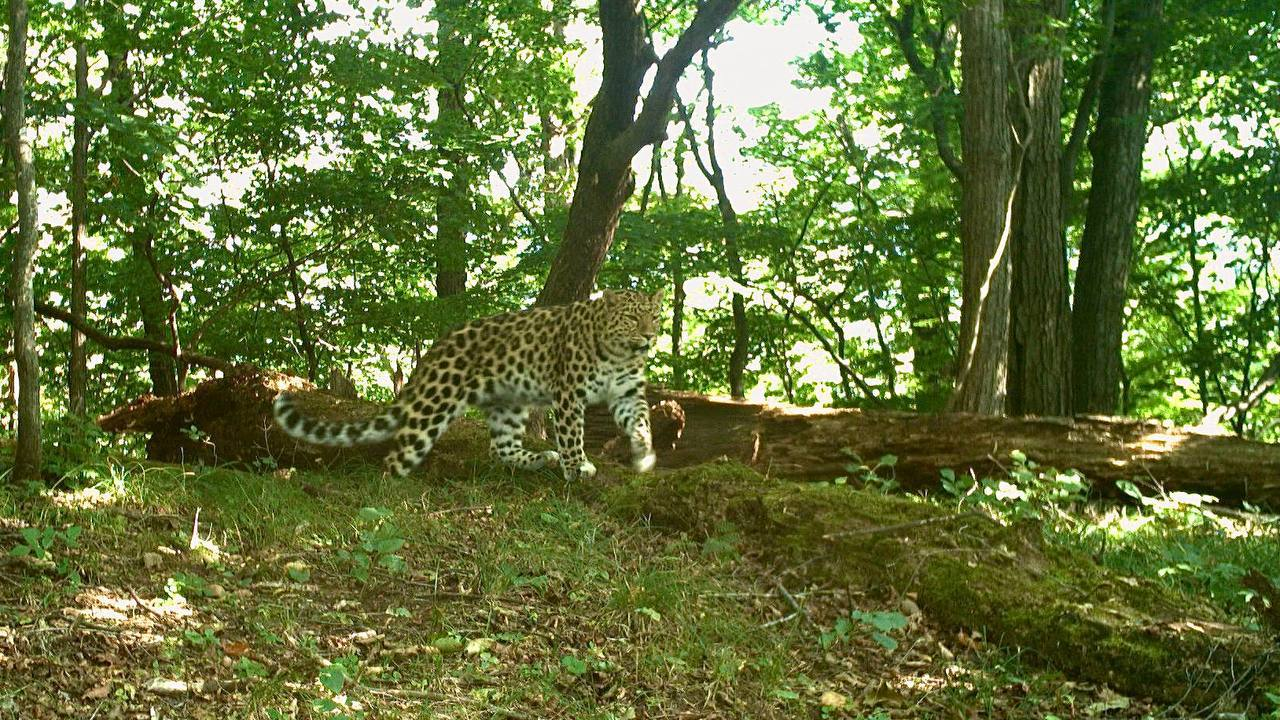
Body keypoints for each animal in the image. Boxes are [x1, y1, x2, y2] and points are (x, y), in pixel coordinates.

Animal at [273, 286, 665, 481]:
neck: (618, 353)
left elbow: (643, 422)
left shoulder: (628, 393)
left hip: (509, 402)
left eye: (655, 316)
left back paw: (540, 458)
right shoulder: (569, 392)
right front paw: (577, 466)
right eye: (632, 318)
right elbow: (572, 434)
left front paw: (645, 453)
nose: (649, 337)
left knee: (500, 448)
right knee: (397, 456)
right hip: (436, 404)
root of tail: (438, 345)